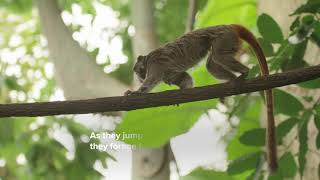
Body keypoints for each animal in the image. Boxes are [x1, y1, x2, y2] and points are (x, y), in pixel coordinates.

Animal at [125, 24, 278, 172]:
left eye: (138, 71)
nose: (139, 78)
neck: (148, 59)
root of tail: (229, 25)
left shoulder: (155, 63)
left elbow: (152, 80)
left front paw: (136, 93)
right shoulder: (167, 72)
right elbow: (185, 77)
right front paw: (182, 91)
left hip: (224, 38)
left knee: (219, 56)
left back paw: (244, 73)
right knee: (212, 64)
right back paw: (232, 80)